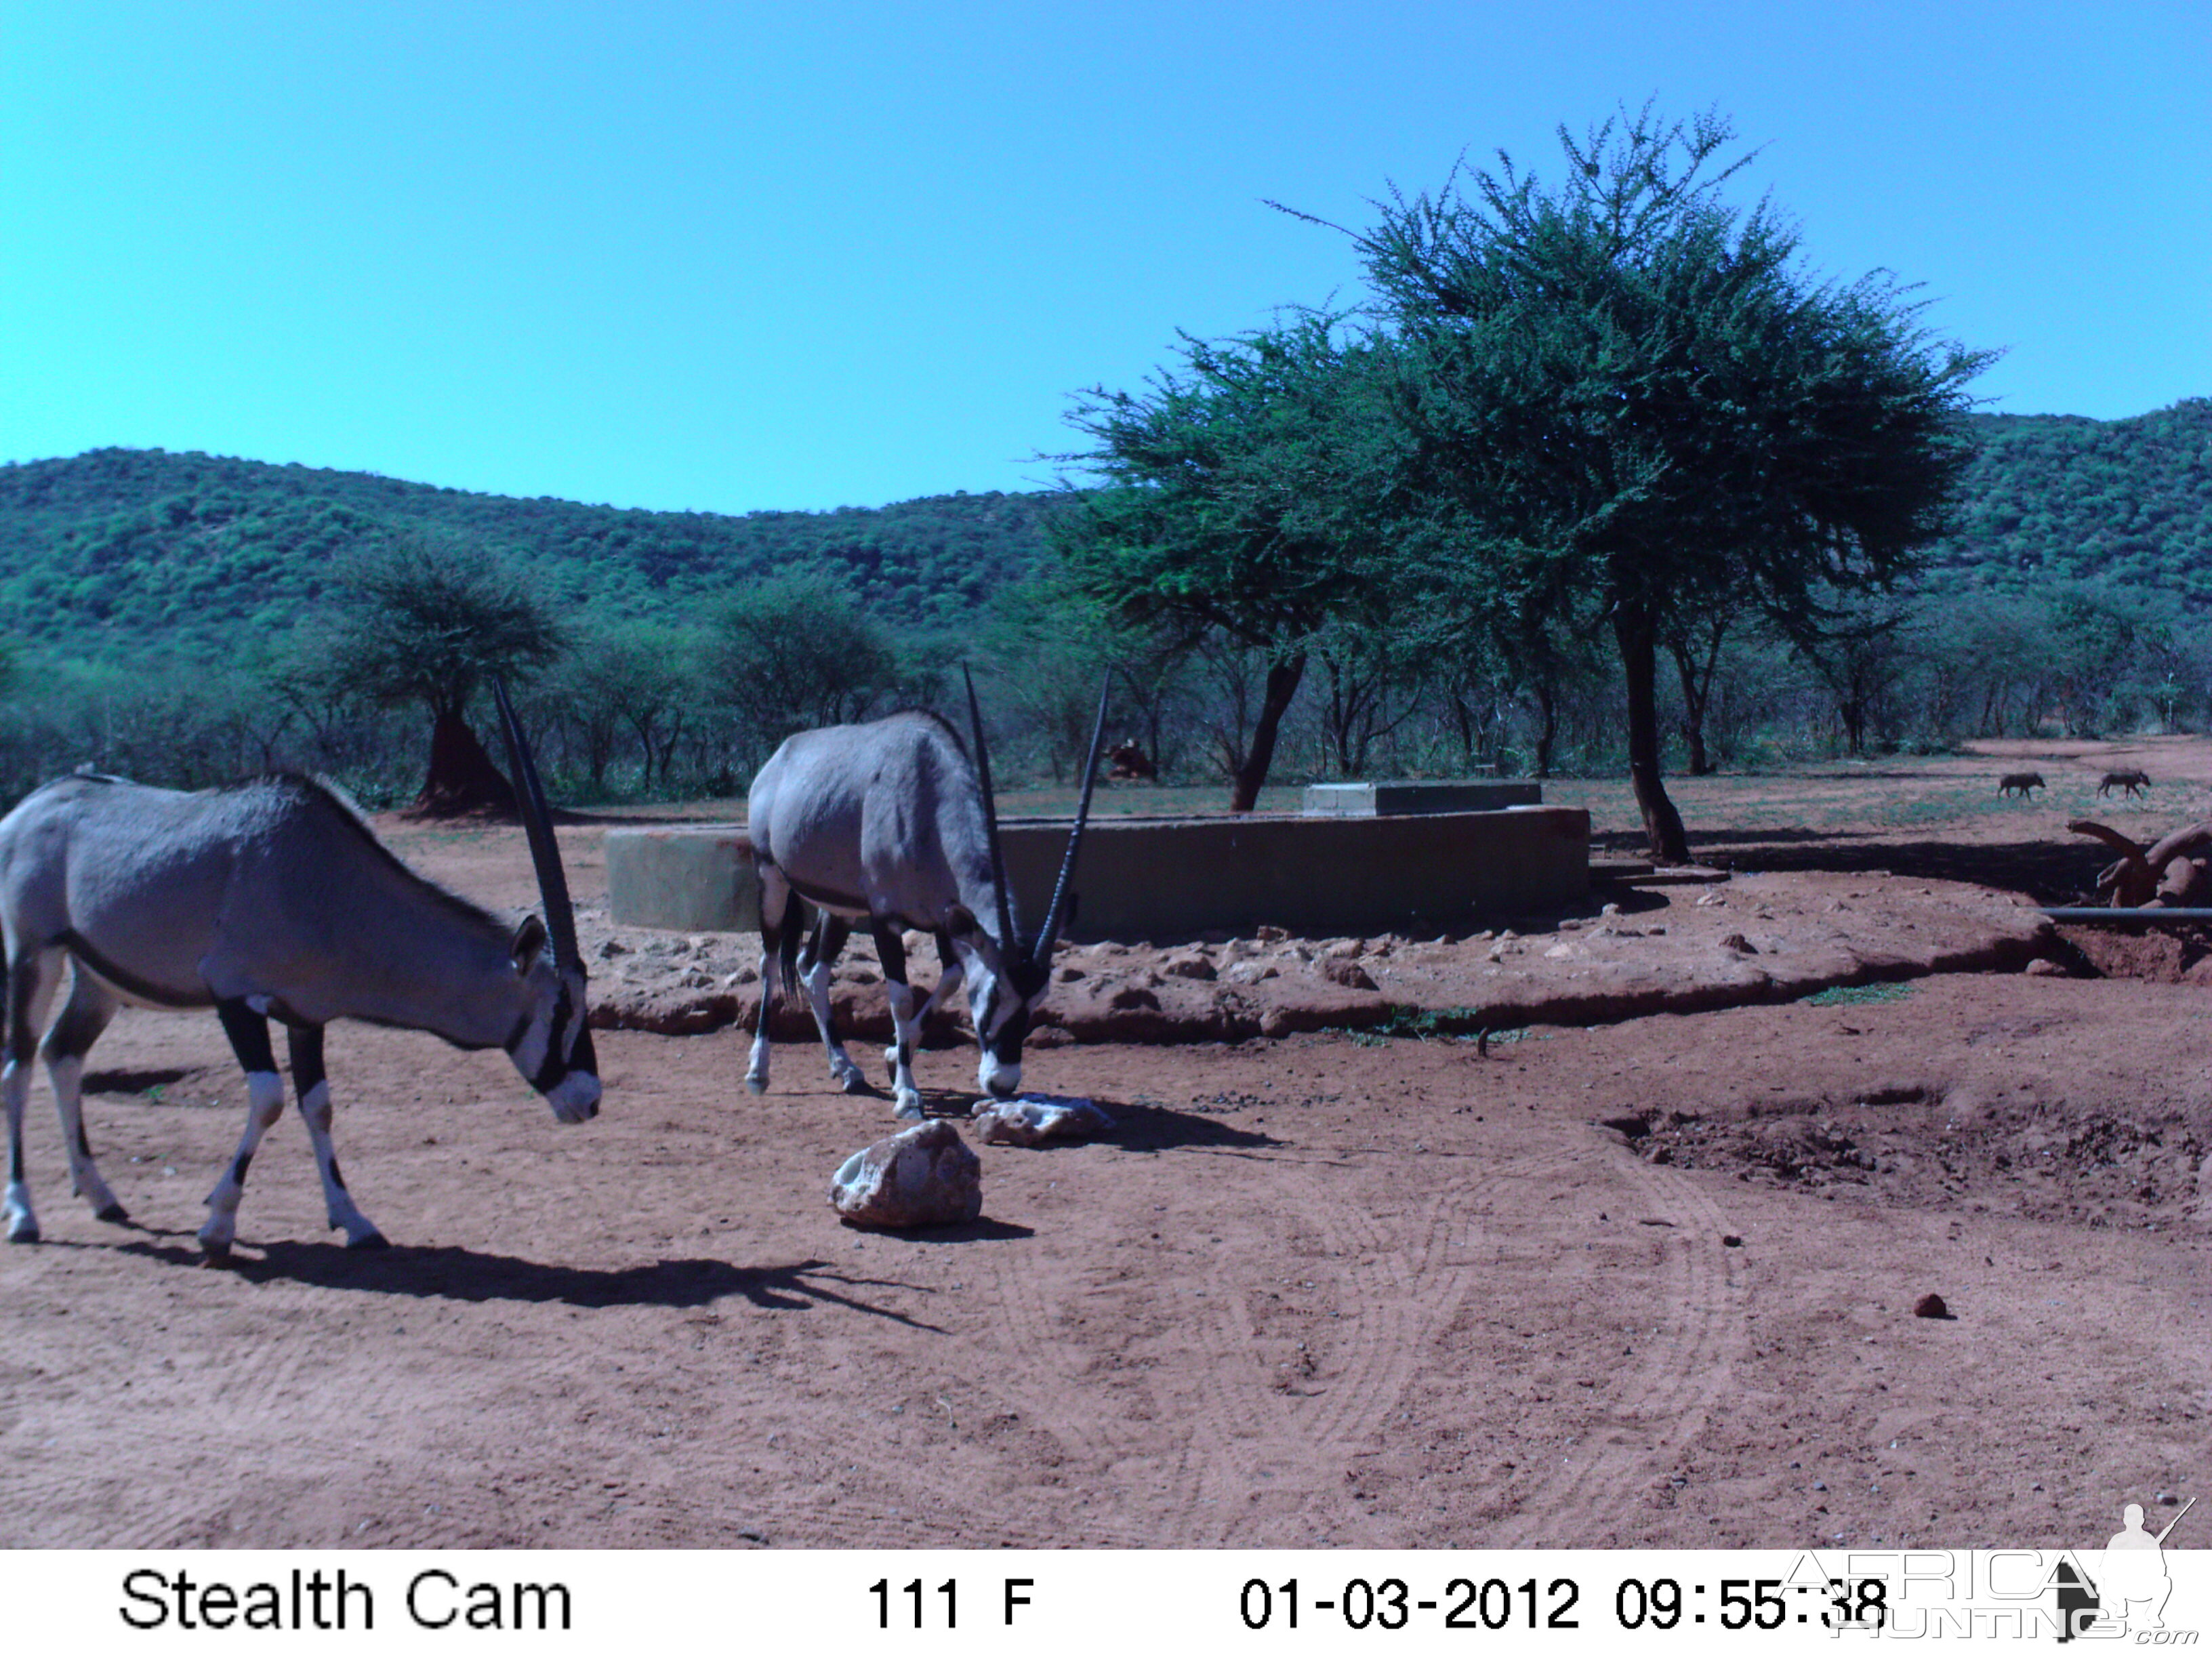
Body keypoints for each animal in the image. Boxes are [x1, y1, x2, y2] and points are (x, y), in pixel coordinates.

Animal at [0, 676, 601, 1256]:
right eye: (560, 1007)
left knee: (62, 1053)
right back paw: (25, 1214)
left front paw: (355, 1222)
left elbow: (319, 1106)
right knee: (19, 1066)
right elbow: (269, 1100)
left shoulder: (306, 1016)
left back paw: (102, 1197)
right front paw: (218, 1224)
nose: (590, 1101)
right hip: (34, 954)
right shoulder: (234, 997)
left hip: (97, 980)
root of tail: (29, 808)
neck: (326, 882)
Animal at [752, 672, 1115, 1119]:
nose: (1003, 1083)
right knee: (770, 961)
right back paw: (759, 1072)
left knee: (811, 967)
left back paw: (847, 1069)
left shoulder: (946, 920)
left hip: (839, 907)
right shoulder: (885, 919)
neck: (926, 796)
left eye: (1040, 997)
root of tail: (780, 757)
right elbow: (902, 998)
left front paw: (894, 1057)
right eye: (995, 994)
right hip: (771, 877)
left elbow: (952, 978)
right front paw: (908, 1094)